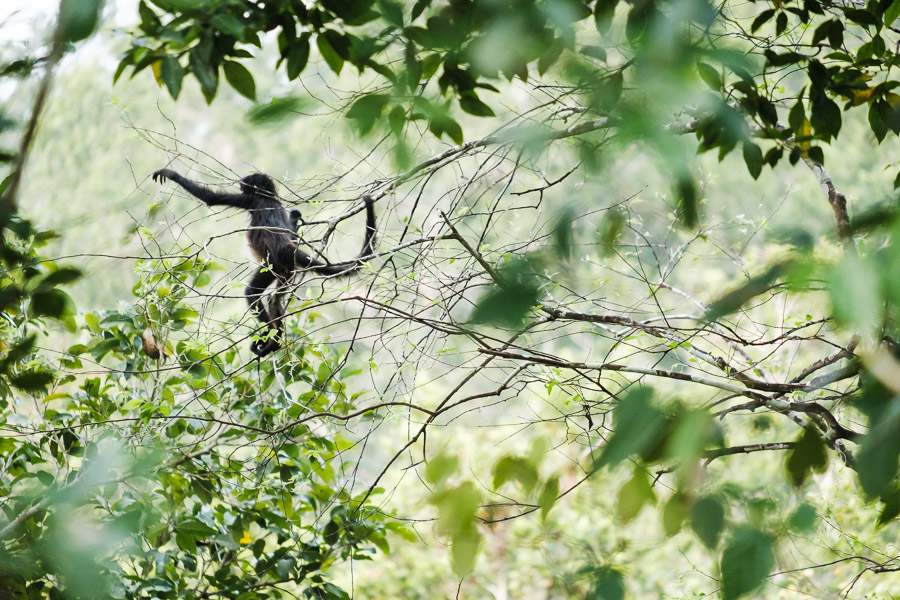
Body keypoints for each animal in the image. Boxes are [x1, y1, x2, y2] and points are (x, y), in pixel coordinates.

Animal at [152, 169, 376, 356]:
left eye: (247, 182)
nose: (241, 182)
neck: (270, 197)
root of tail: (286, 249)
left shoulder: (251, 199)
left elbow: (211, 198)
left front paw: (170, 174)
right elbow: (289, 228)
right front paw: (295, 217)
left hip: (272, 267)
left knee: (253, 293)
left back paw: (272, 340)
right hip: (286, 272)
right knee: (274, 299)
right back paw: (276, 339)